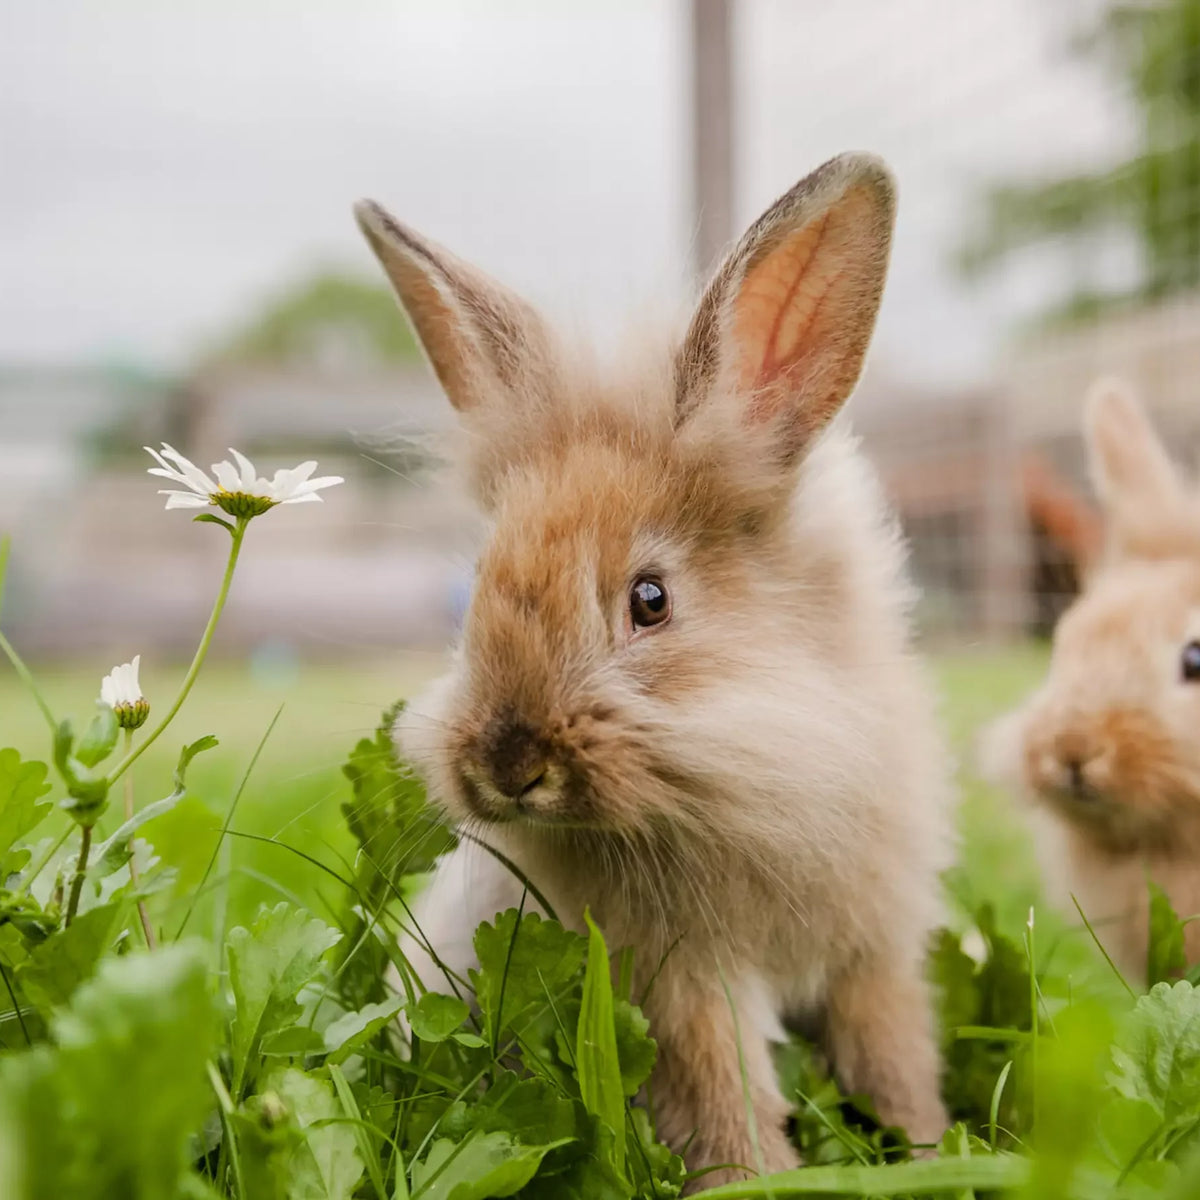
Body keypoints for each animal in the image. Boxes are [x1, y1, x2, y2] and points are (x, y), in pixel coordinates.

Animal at [354, 152, 952, 1186]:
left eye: (650, 599)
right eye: (480, 586)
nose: (508, 766)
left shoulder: (874, 953)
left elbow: (894, 1055)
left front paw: (925, 1148)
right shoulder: (685, 986)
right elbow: (722, 1093)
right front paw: (756, 1180)